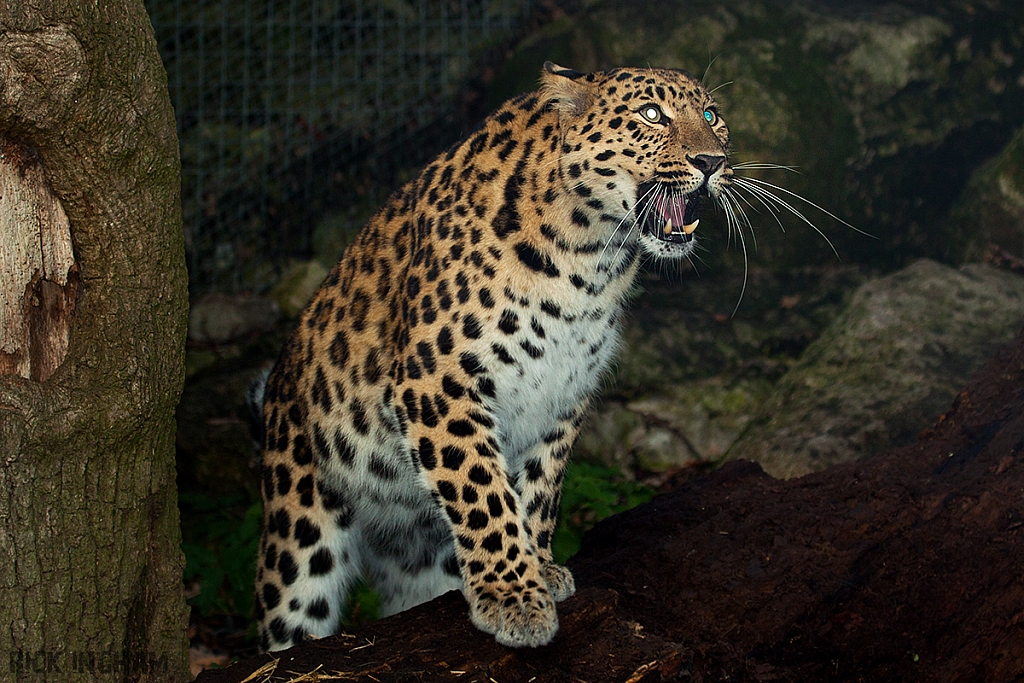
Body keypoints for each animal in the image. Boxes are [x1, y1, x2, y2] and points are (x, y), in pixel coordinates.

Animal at [253, 60, 737, 651]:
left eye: (711, 116)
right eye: (651, 114)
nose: (713, 161)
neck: (588, 262)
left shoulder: (562, 394)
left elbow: (538, 489)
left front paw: (539, 567)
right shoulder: (439, 383)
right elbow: (481, 487)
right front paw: (515, 597)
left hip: (417, 566)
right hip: (299, 532)